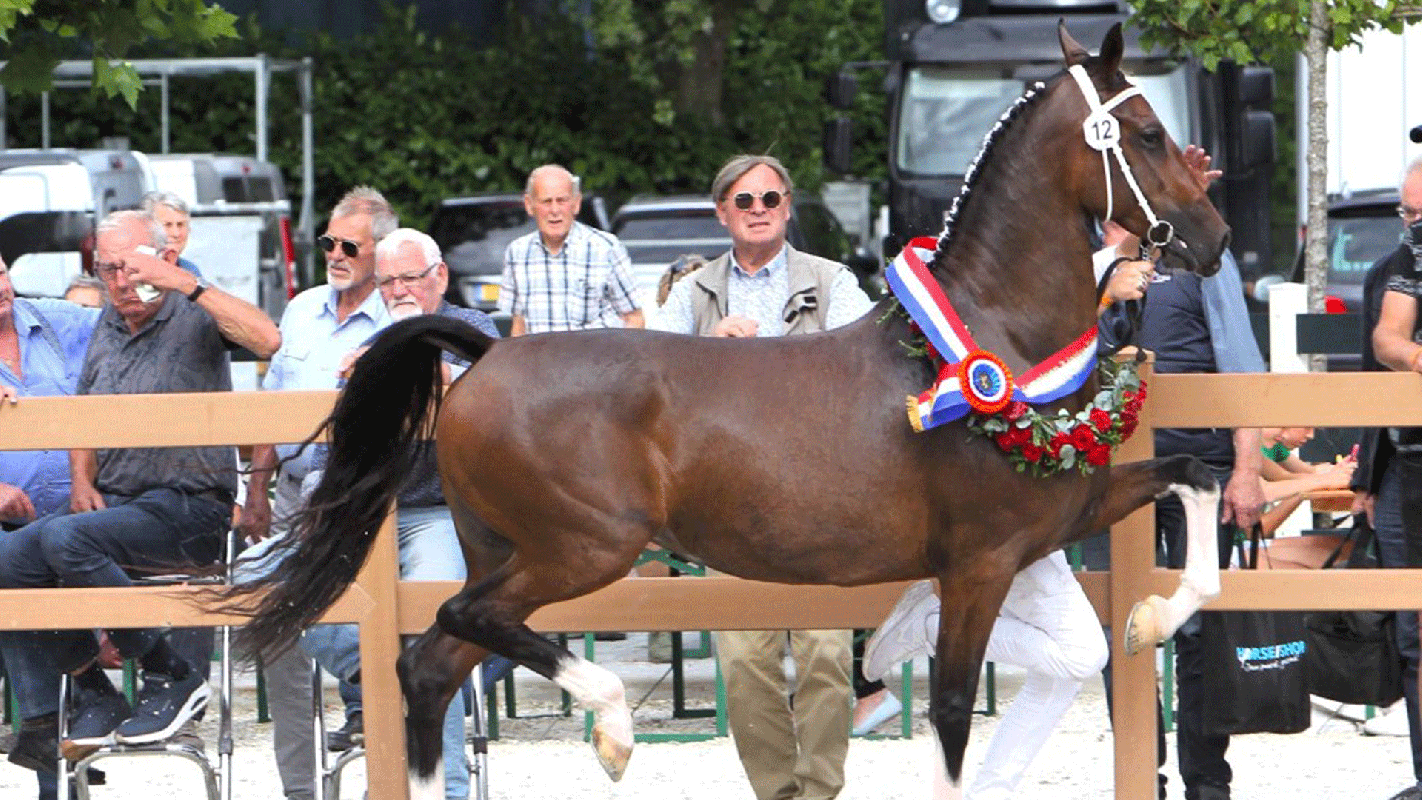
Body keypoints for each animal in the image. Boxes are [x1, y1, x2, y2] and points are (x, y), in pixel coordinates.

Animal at [223, 22, 1230, 799]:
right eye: (1144, 132)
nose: (1216, 239)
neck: (990, 338)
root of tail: (490, 348)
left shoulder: (1060, 513)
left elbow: (1194, 479)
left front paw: (1150, 619)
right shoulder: (979, 564)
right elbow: (949, 719)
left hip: (508, 549)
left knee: (431, 664)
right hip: (582, 548)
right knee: (464, 630)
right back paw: (614, 727)